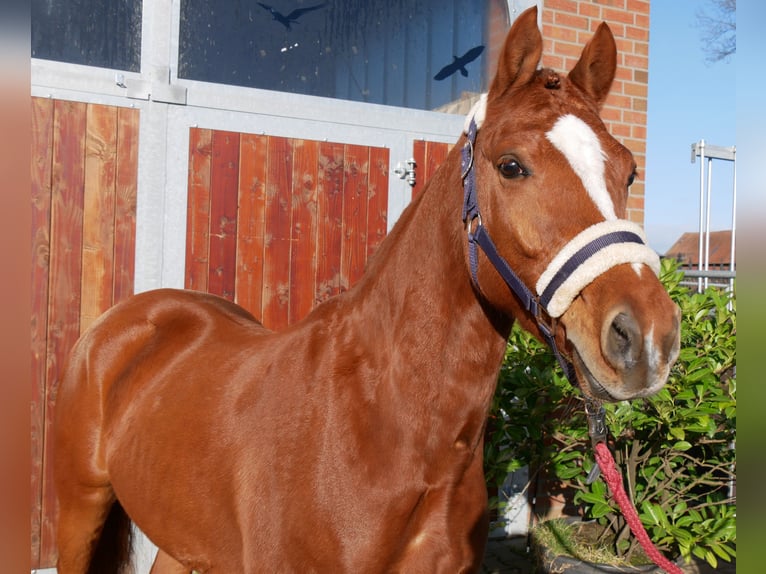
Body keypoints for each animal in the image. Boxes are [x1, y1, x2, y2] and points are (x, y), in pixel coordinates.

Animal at [55, 9, 684, 574]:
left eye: (628, 171)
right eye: (511, 166)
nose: (647, 337)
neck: (385, 428)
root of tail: (133, 317)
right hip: (80, 510)